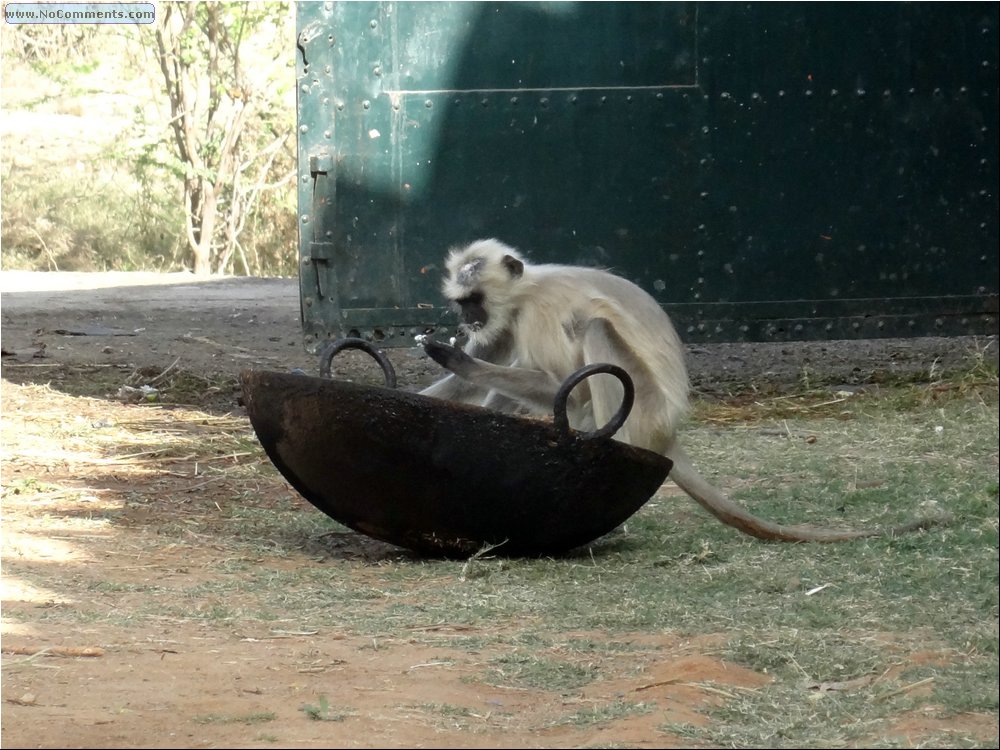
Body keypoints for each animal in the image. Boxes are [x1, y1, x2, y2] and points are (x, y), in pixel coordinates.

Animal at [418, 238, 948, 544]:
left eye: (473, 300)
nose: (467, 321)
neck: (525, 293)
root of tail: (668, 426)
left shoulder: (538, 314)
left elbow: (562, 388)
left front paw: (457, 357)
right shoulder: (508, 323)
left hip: (642, 404)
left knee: (594, 329)